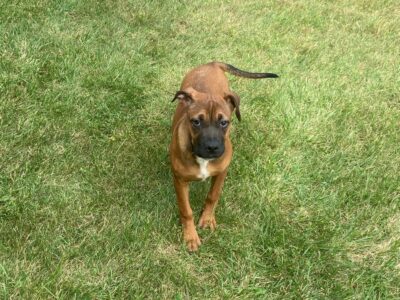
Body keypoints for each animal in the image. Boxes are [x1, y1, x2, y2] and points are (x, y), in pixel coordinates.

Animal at [170, 61, 278, 251]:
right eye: (196, 122)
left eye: (224, 122)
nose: (212, 148)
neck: (202, 160)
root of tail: (212, 63)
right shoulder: (180, 180)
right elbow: (186, 210)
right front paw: (190, 236)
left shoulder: (221, 172)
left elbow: (213, 196)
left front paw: (207, 219)